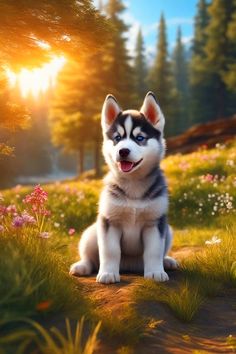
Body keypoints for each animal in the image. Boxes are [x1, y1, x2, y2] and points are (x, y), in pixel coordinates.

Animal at [69, 92, 177, 284]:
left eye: (139, 138)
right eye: (117, 138)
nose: (123, 151)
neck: (133, 184)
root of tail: (130, 267)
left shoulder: (155, 222)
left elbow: (154, 251)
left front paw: (156, 272)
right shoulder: (109, 221)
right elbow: (110, 251)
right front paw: (108, 273)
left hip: (168, 231)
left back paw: (167, 261)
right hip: (91, 232)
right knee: (91, 258)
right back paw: (82, 266)